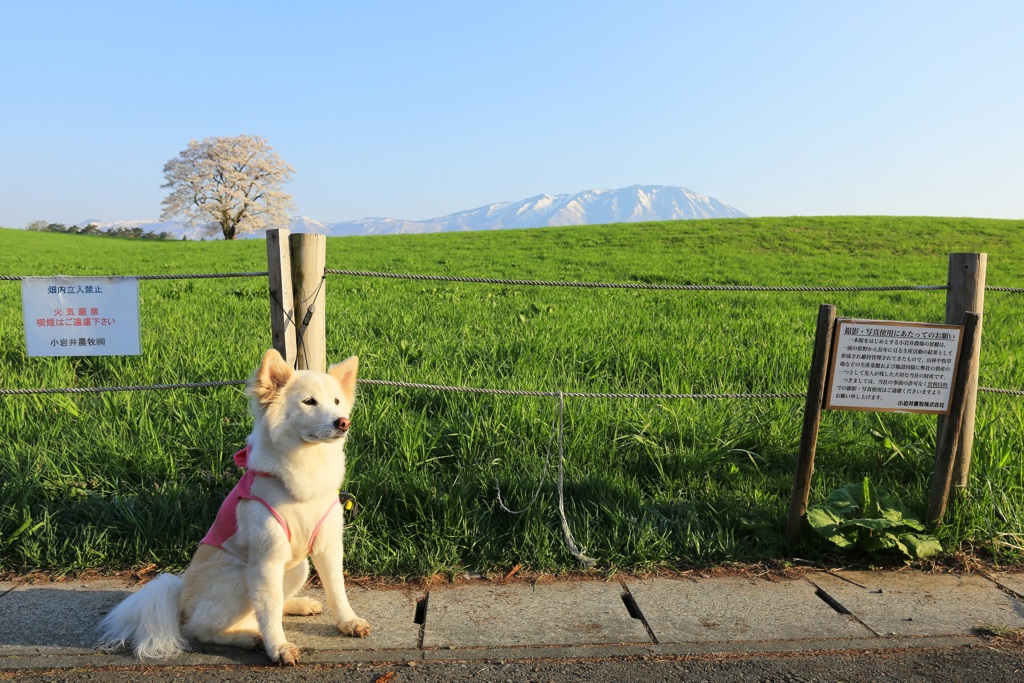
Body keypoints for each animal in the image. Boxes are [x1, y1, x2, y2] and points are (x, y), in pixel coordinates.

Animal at [98, 350, 368, 663]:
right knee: (204, 628)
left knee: (271, 604)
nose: (342, 422)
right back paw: (248, 637)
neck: (305, 470)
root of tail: (179, 598)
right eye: (309, 402)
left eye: (336, 401)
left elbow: (337, 590)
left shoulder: (328, 546)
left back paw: (297, 605)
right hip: (240, 576)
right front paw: (278, 648)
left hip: (297, 567)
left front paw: (349, 622)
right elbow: (268, 611)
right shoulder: (266, 559)